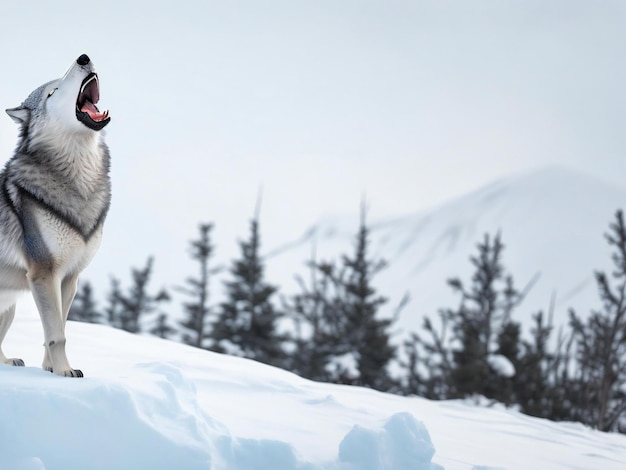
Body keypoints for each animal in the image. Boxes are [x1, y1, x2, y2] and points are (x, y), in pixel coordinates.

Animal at [0, 54, 110, 378]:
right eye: (52, 92)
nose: (84, 57)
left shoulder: (69, 277)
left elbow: (57, 328)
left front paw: (51, 369)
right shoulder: (44, 273)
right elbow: (57, 334)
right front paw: (63, 371)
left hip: (10, 304)